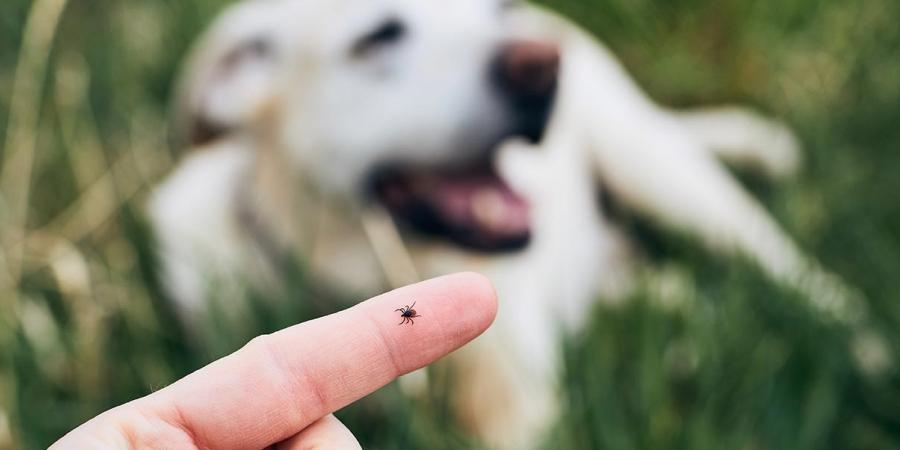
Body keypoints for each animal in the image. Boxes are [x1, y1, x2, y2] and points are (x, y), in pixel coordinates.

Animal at [151, 1, 860, 448]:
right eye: (378, 36)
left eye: (495, 9)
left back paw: (863, 349)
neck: (361, 268)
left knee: (797, 276)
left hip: (659, 171)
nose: (542, 64)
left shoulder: (521, 410)